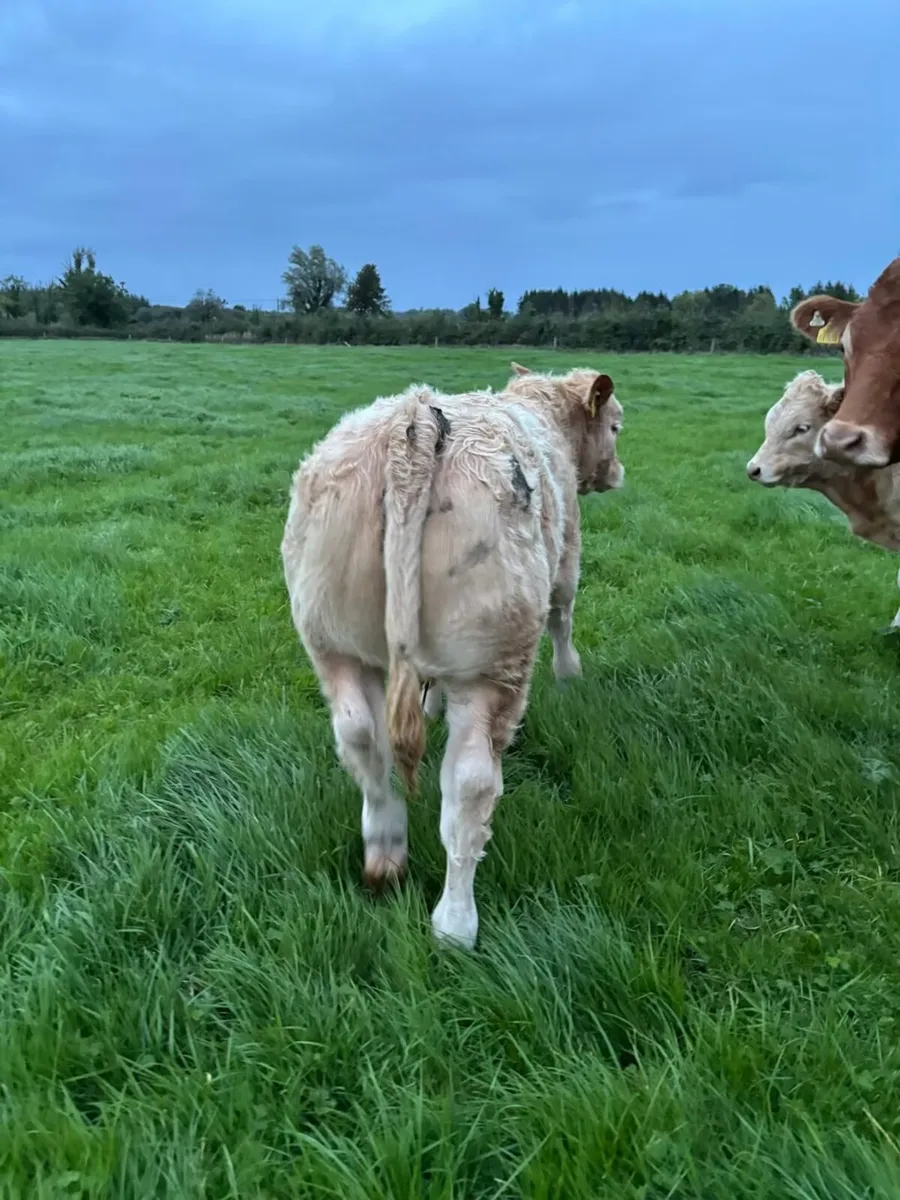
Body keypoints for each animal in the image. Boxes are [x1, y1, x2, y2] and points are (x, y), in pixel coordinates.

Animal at [280, 363, 624, 949]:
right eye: (617, 426)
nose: (617, 472)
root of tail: (414, 424)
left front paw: (432, 705)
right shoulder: (568, 558)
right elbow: (564, 618)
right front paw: (569, 676)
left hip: (332, 640)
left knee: (361, 738)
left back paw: (385, 857)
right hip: (490, 662)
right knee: (470, 784)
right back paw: (456, 924)